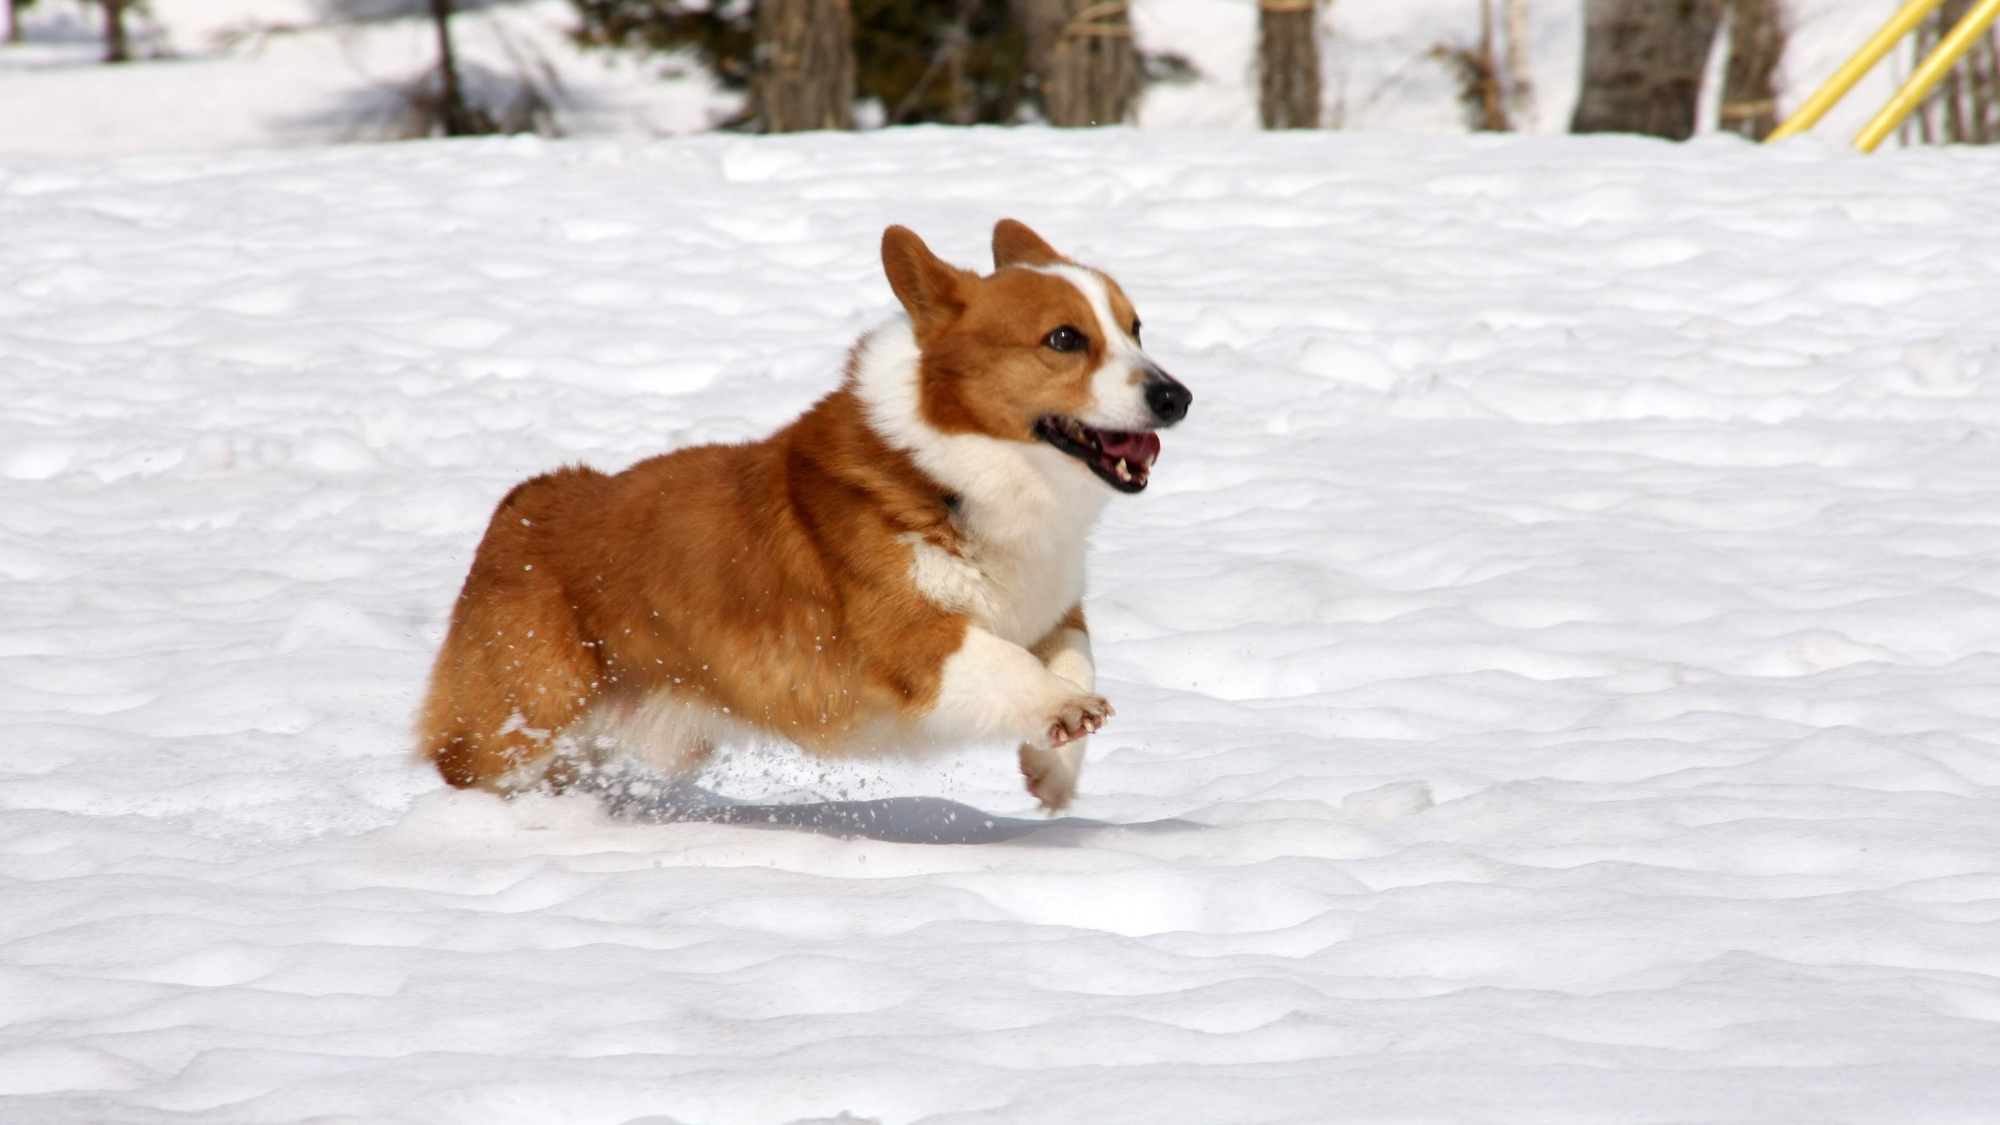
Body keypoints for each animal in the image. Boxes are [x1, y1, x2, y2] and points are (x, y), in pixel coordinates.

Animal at [410, 217, 1184, 804]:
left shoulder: (1054, 613)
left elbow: (1077, 659)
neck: (958, 472)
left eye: (1137, 328)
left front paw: (1054, 768)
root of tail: (520, 504)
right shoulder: (907, 638)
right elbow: (1004, 662)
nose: (1178, 397)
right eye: (1064, 339)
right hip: (524, 718)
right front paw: (1060, 710)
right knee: (469, 764)